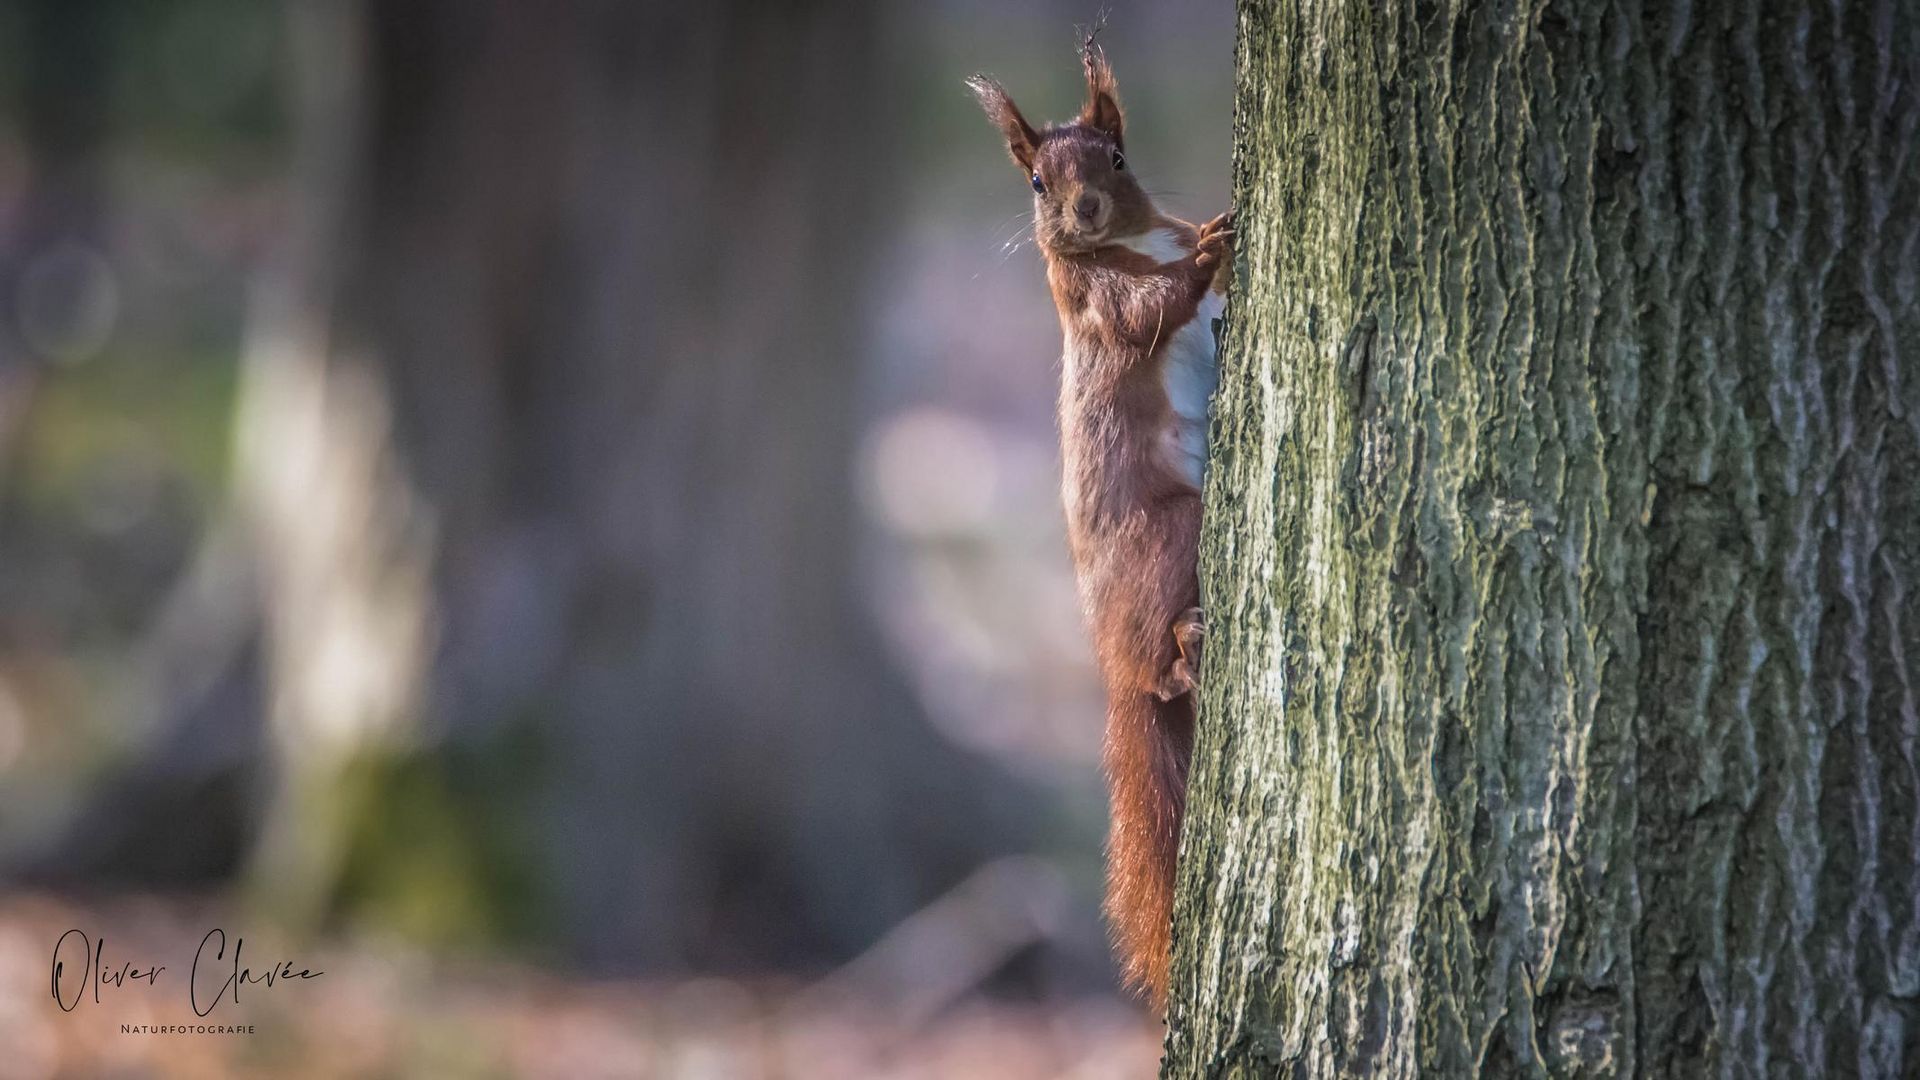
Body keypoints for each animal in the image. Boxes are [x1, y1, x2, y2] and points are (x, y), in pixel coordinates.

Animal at [975, 42, 1228, 999]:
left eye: (1117, 159)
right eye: (1037, 182)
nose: (1082, 209)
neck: (1130, 241)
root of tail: (1109, 662)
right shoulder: (1086, 297)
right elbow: (1142, 312)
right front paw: (1214, 251)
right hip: (1176, 530)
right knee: (1160, 672)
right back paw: (1183, 654)